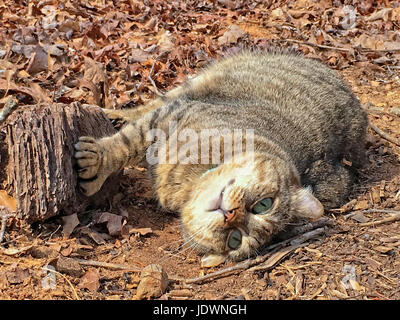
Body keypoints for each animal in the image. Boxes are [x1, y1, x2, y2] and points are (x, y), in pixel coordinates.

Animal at [73, 51, 368, 264]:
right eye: (264, 204)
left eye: (234, 240)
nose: (230, 215)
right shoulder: (169, 116)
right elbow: (125, 143)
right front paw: (98, 160)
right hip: (198, 83)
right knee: (155, 102)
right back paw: (113, 114)